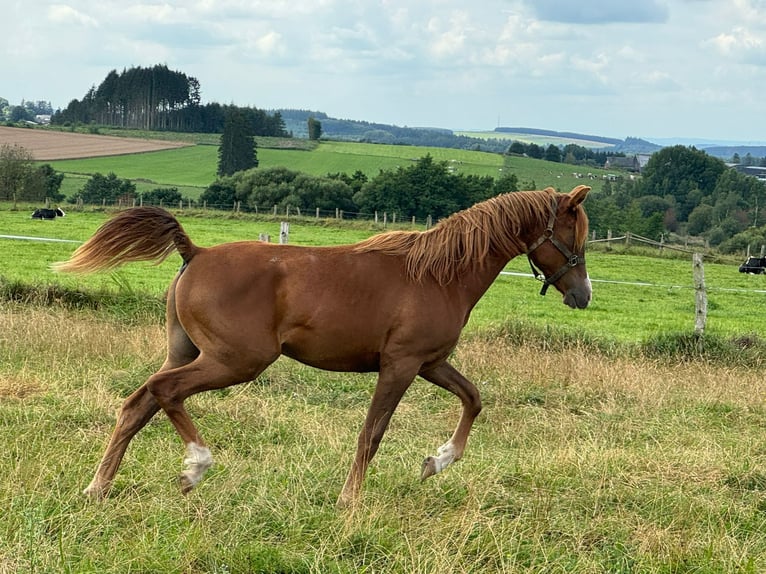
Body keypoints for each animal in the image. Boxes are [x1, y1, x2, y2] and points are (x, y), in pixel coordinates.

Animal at [57, 184, 592, 508]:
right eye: (575, 236)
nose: (583, 295)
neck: (440, 275)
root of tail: (196, 251)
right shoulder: (400, 365)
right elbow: (372, 433)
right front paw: (350, 500)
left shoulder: (431, 363)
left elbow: (474, 399)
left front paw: (435, 462)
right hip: (236, 361)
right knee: (164, 391)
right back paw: (195, 467)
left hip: (189, 351)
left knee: (138, 403)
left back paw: (97, 488)